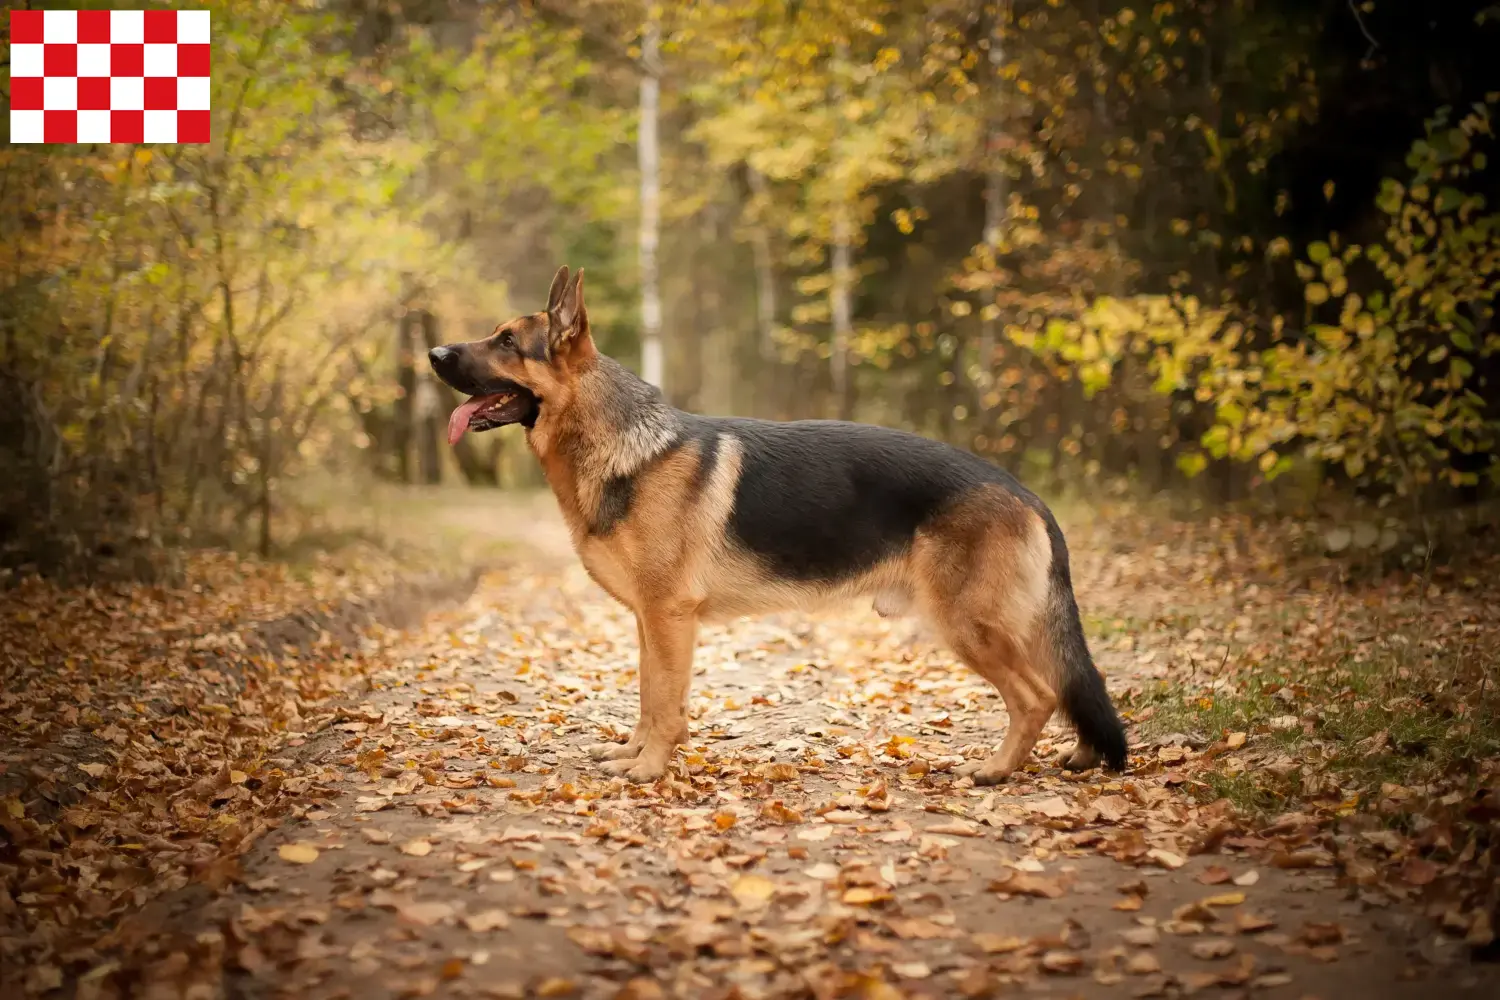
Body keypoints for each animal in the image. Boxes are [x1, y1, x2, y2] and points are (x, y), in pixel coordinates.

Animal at [432, 269, 1128, 785]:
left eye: (506, 342)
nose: (433, 352)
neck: (623, 445)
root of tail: (1026, 493)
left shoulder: (668, 617)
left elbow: (664, 703)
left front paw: (650, 770)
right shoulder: (650, 622)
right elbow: (650, 697)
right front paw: (635, 755)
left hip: (967, 625)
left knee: (1038, 696)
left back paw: (995, 770)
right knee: (1067, 686)